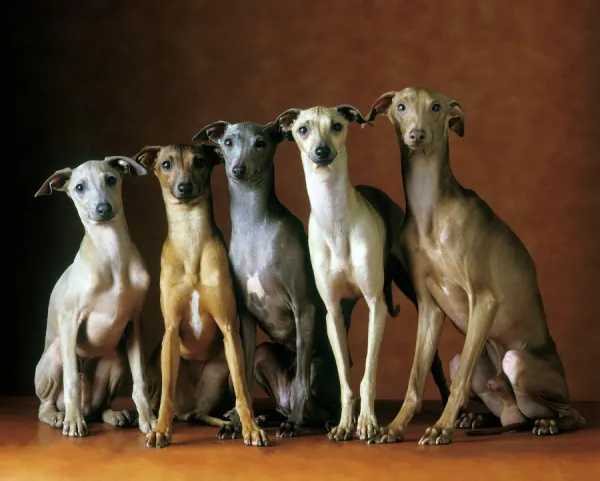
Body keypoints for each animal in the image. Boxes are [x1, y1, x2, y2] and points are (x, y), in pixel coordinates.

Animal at [33, 157, 156, 436]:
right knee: (46, 404)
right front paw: (73, 422)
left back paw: (113, 414)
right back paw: (60, 416)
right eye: (79, 187)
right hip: (55, 355)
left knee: (101, 407)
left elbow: (141, 380)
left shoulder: (134, 322)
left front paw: (149, 419)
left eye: (111, 179)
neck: (112, 253)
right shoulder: (70, 320)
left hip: (115, 361)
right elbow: (71, 381)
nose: (103, 208)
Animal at [136, 142, 270, 446]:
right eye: (166, 164)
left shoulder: (229, 328)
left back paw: (235, 423)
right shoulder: (171, 331)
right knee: (170, 402)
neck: (191, 240)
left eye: (199, 161)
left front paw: (251, 428)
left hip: (223, 372)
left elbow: (243, 392)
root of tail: (189, 408)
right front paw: (160, 431)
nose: (184, 187)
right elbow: (166, 398)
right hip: (159, 367)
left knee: (214, 408)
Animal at [368, 86, 584, 442]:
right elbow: (415, 380)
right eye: (400, 107)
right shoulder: (428, 307)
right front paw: (395, 427)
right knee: (507, 411)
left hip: (519, 362)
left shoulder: (484, 298)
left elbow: (457, 386)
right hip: (470, 365)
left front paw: (440, 428)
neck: (430, 209)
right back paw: (479, 418)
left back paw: (548, 423)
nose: (417, 135)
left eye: (436, 107)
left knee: (570, 413)